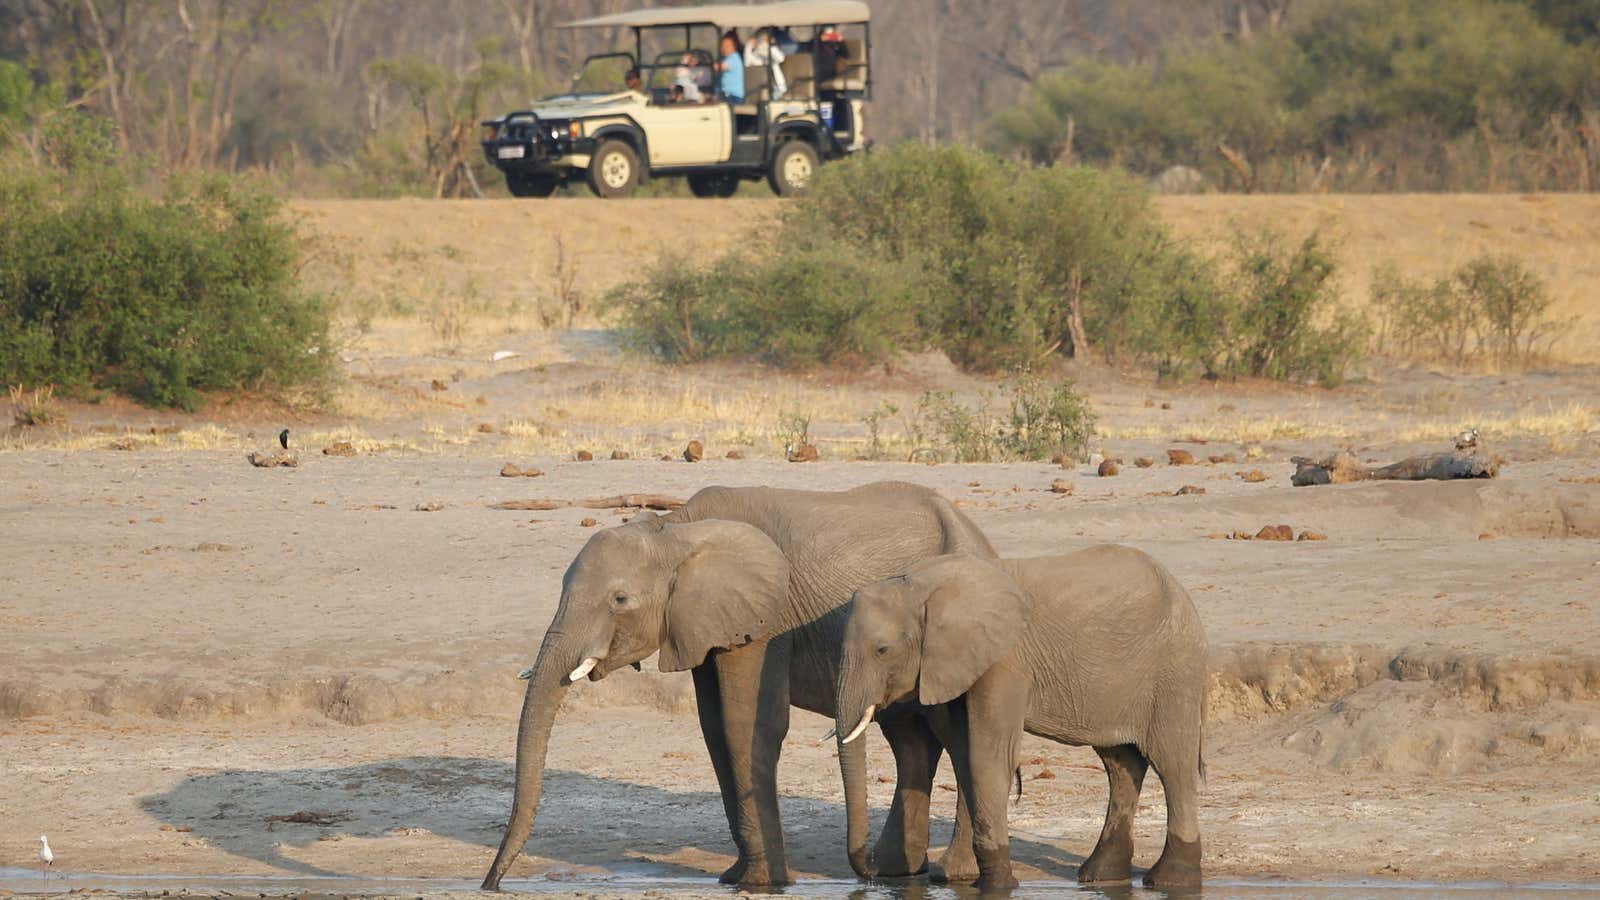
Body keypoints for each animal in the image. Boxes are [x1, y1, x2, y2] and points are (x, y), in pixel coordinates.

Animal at [480, 480, 992, 883]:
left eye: (620, 600)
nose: (492, 883)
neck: (678, 530)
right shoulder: (705, 623)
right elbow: (714, 729)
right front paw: (734, 878)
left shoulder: (764, 620)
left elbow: (746, 725)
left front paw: (763, 883)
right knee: (911, 740)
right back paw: (894, 872)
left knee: (959, 737)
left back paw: (950, 873)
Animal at [838, 544, 1203, 883]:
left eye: (882, 650)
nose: (872, 872)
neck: (920, 585)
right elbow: (965, 756)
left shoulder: (1006, 662)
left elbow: (989, 757)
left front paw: (997, 884)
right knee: (1121, 763)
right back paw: (1099, 876)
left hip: (1174, 670)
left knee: (1172, 765)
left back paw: (1169, 879)